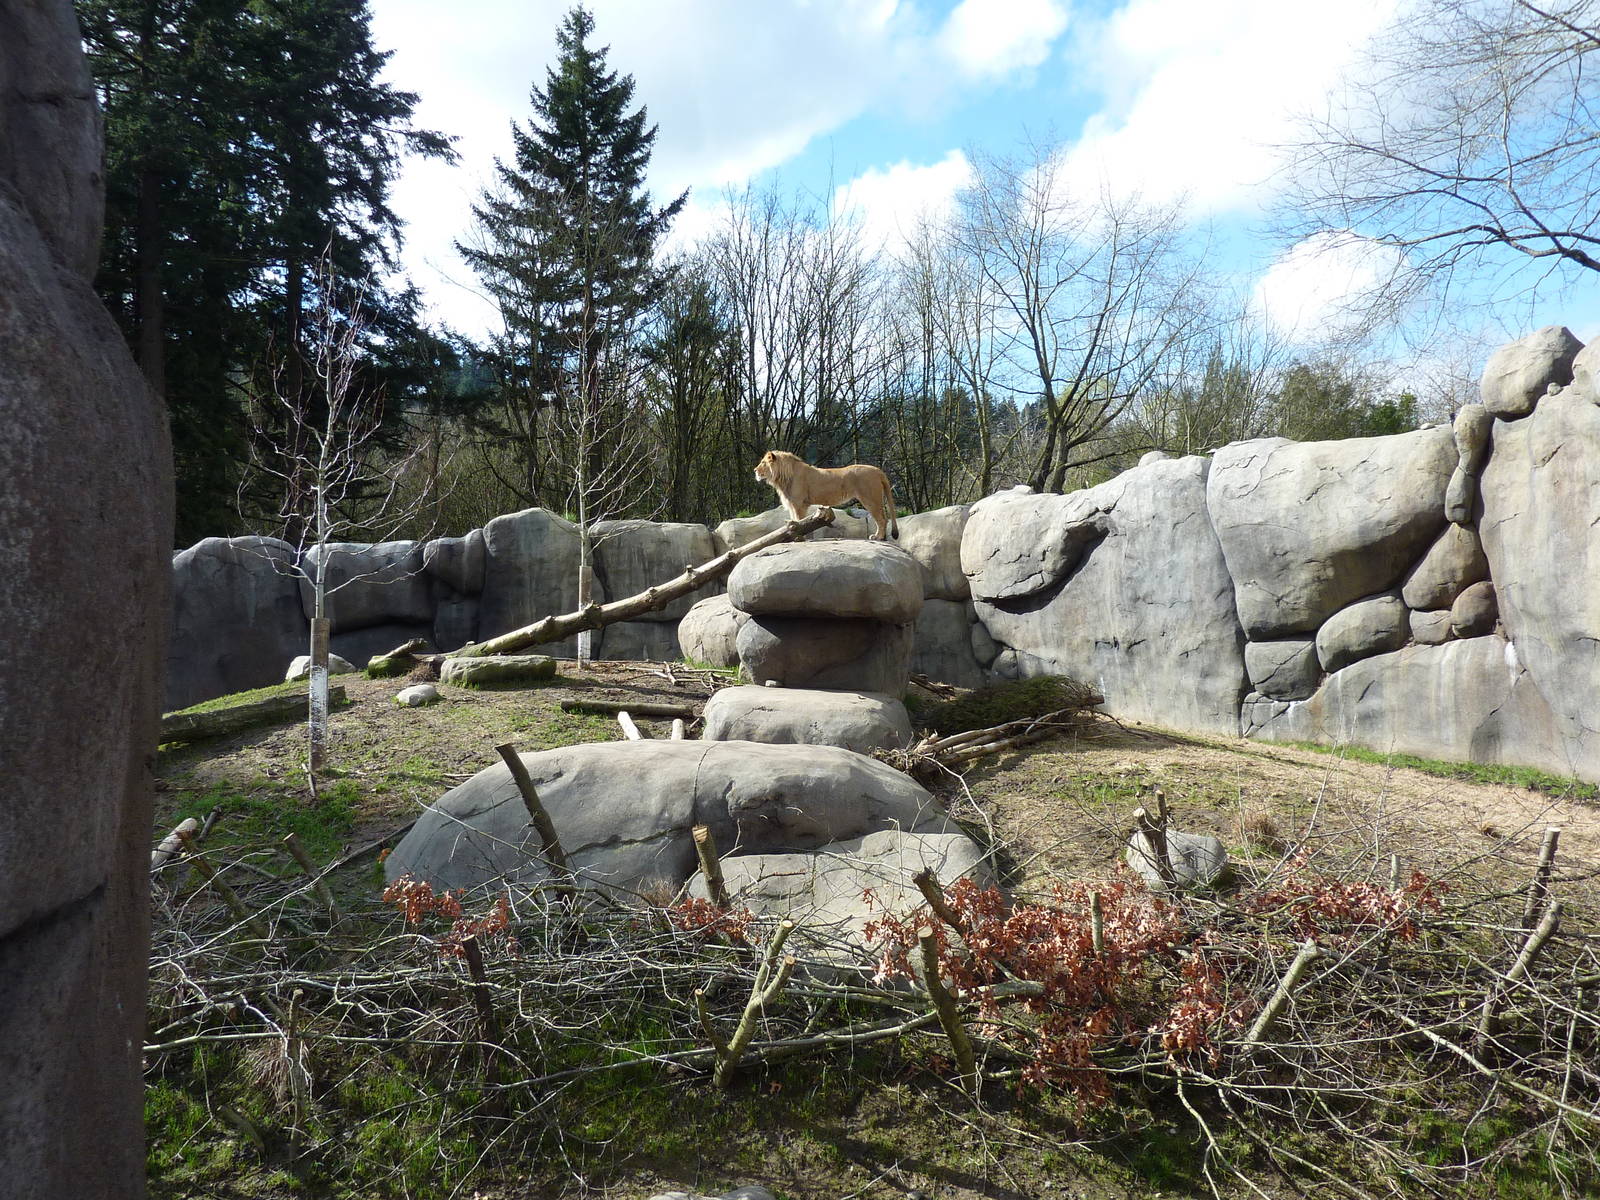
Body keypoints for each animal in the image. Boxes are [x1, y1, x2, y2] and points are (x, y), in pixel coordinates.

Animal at [754, 450, 899, 540]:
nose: (754, 470)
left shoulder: (799, 504)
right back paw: (882, 538)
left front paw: (800, 538)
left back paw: (878, 537)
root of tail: (878, 470)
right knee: (883, 519)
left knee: (882, 520)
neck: (782, 478)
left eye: (763, 463)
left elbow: (798, 521)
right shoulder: (793, 505)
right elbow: (793, 520)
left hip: (870, 499)